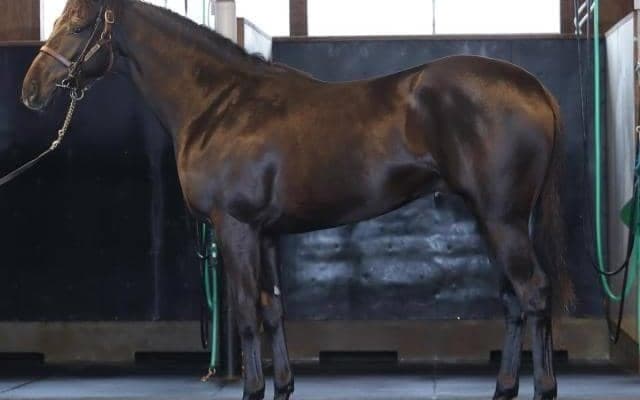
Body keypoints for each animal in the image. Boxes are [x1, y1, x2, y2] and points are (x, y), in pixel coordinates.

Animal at [21, 1, 574, 399]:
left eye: (77, 24)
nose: (31, 90)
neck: (219, 105)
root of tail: (534, 88)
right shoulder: (265, 234)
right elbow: (272, 311)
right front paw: (282, 386)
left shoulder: (235, 228)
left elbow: (246, 312)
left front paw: (250, 390)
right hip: (492, 220)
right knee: (513, 301)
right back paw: (504, 388)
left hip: (501, 219)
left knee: (533, 294)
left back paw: (543, 388)